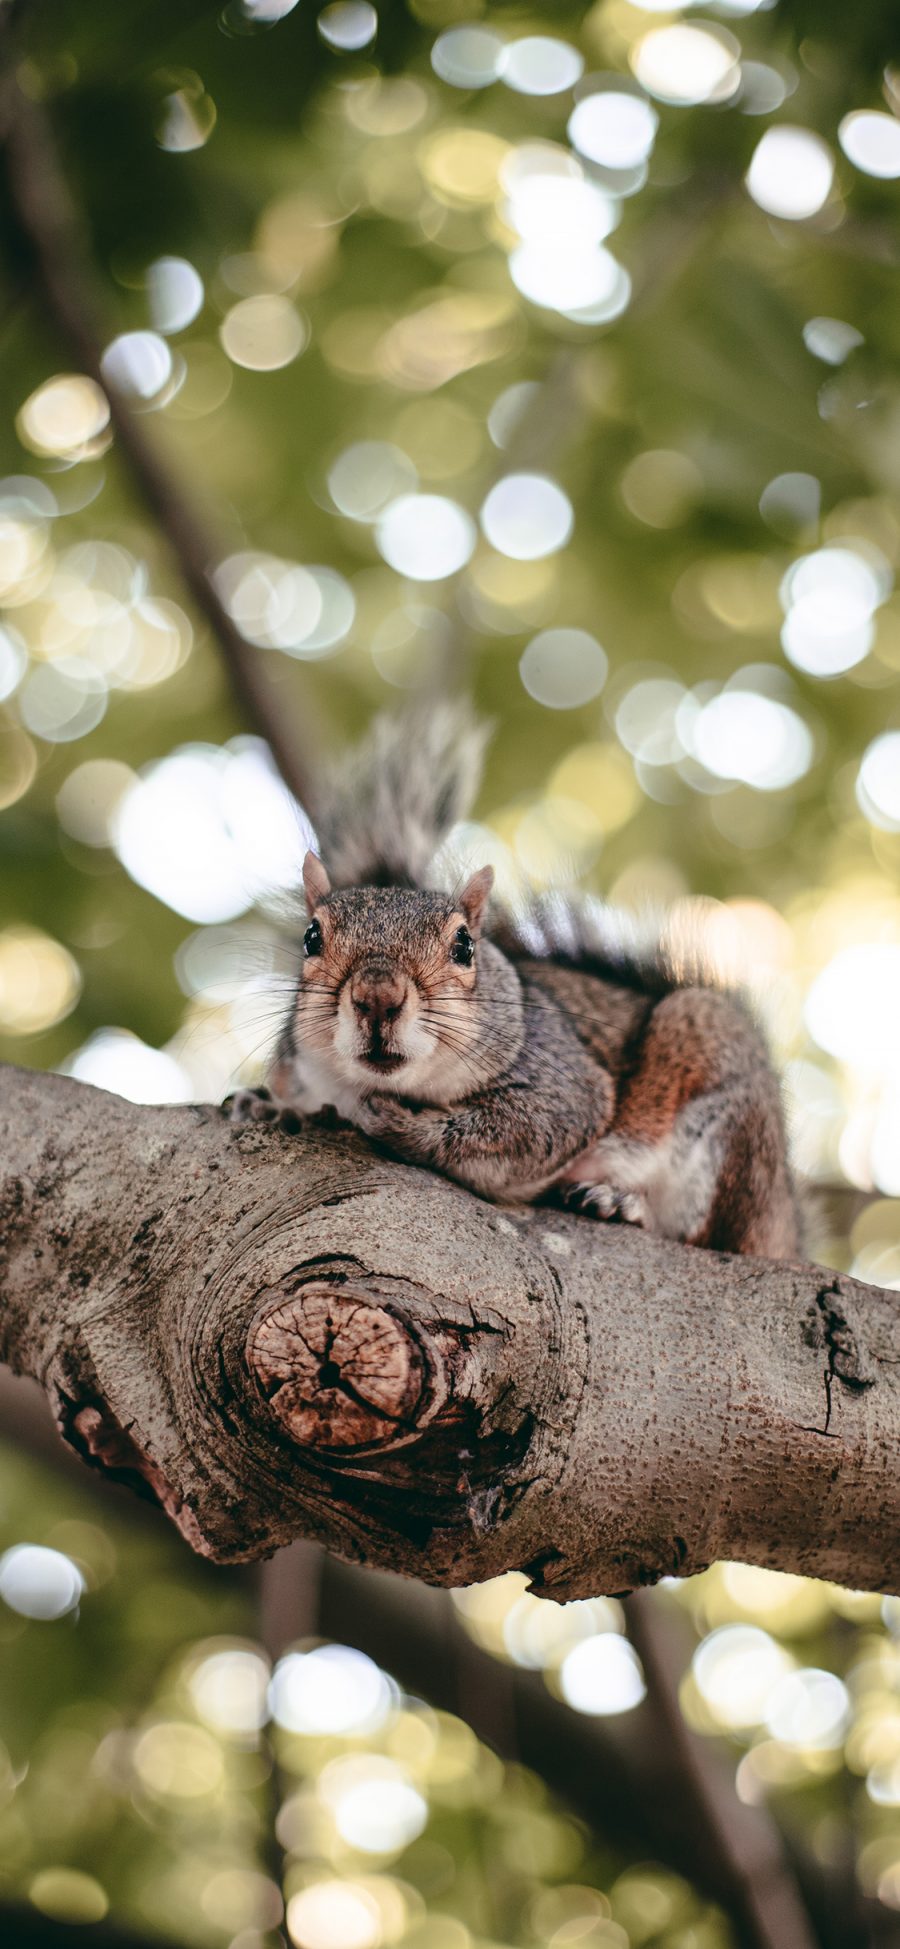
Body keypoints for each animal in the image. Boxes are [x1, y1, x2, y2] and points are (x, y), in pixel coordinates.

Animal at [233, 705, 802, 1262]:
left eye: (464, 945)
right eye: (311, 938)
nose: (377, 998)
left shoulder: (562, 1080)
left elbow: (524, 1129)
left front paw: (394, 1121)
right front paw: (268, 1104)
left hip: (721, 1101)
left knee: (708, 1233)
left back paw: (620, 1204)